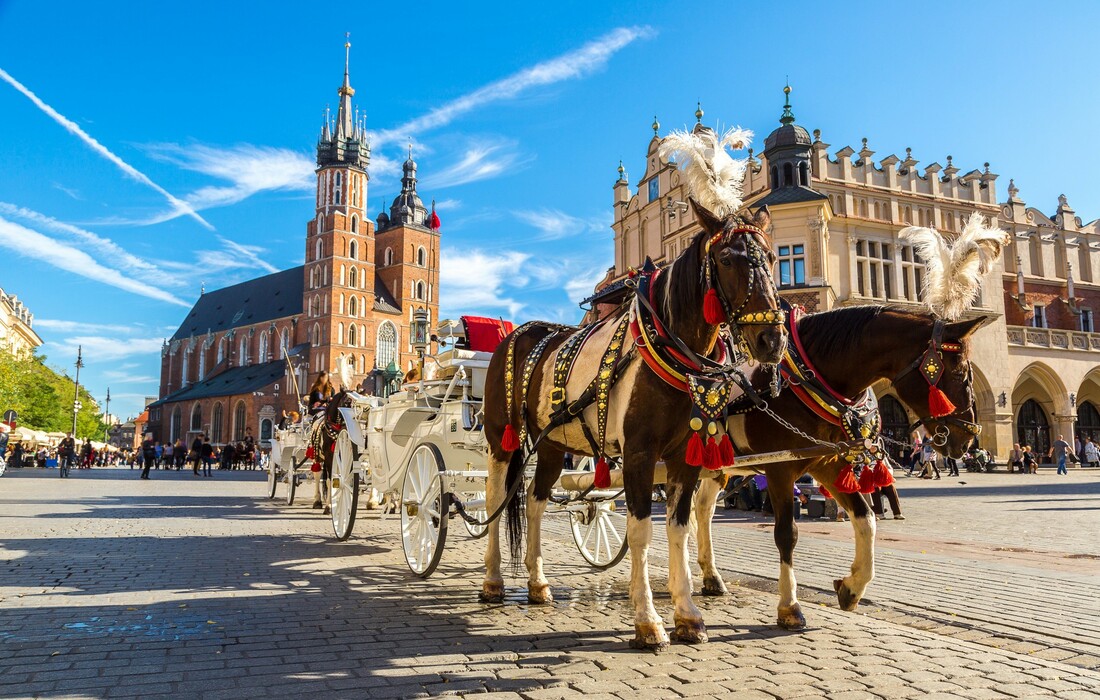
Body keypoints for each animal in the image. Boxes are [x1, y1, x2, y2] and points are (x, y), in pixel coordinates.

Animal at [486, 198, 787, 651]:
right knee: (494, 498)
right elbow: (641, 530)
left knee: (536, 502)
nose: (772, 340)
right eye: (726, 259)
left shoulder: (685, 457)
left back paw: (538, 584)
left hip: (553, 444)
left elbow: (679, 528)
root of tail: (519, 332)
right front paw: (648, 621)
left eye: (772, 258)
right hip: (501, 438)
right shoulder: (640, 454)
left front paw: (687, 615)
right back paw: (492, 580)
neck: (668, 348)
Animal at [695, 305, 990, 629]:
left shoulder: (828, 462)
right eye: (961, 373)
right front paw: (790, 606)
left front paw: (852, 587)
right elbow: (786, 534)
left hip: (716, 466)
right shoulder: (780, 469)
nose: (969, 437)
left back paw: (711, 577)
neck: (803, 382)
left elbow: (866, 519)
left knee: (702, 509)